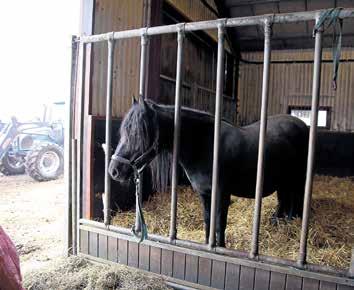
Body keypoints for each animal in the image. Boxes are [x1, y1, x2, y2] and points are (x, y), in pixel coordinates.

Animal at [109, 97, 308, 247]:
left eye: (138, 134)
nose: (114, 170)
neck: (205, 146)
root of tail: (303, 126)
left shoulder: (222, 194)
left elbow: (220, 224)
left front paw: (221, 248)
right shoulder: (204, 194)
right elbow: (208, 223)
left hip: (297, 180)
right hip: (284, 181)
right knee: (284, 201)